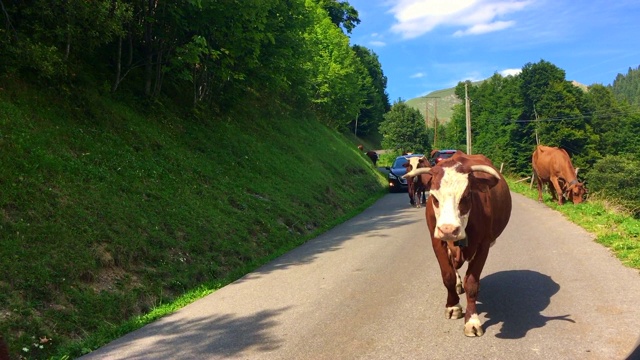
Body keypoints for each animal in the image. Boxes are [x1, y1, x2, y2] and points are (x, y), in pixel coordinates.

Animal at [402, 150, 512, 336]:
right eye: (434, 197)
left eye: (466, 195)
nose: (448, 229)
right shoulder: (437, 241)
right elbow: (448, 276)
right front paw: (453, 306)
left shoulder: (483, 245)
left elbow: (472, 282)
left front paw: (472, 320)